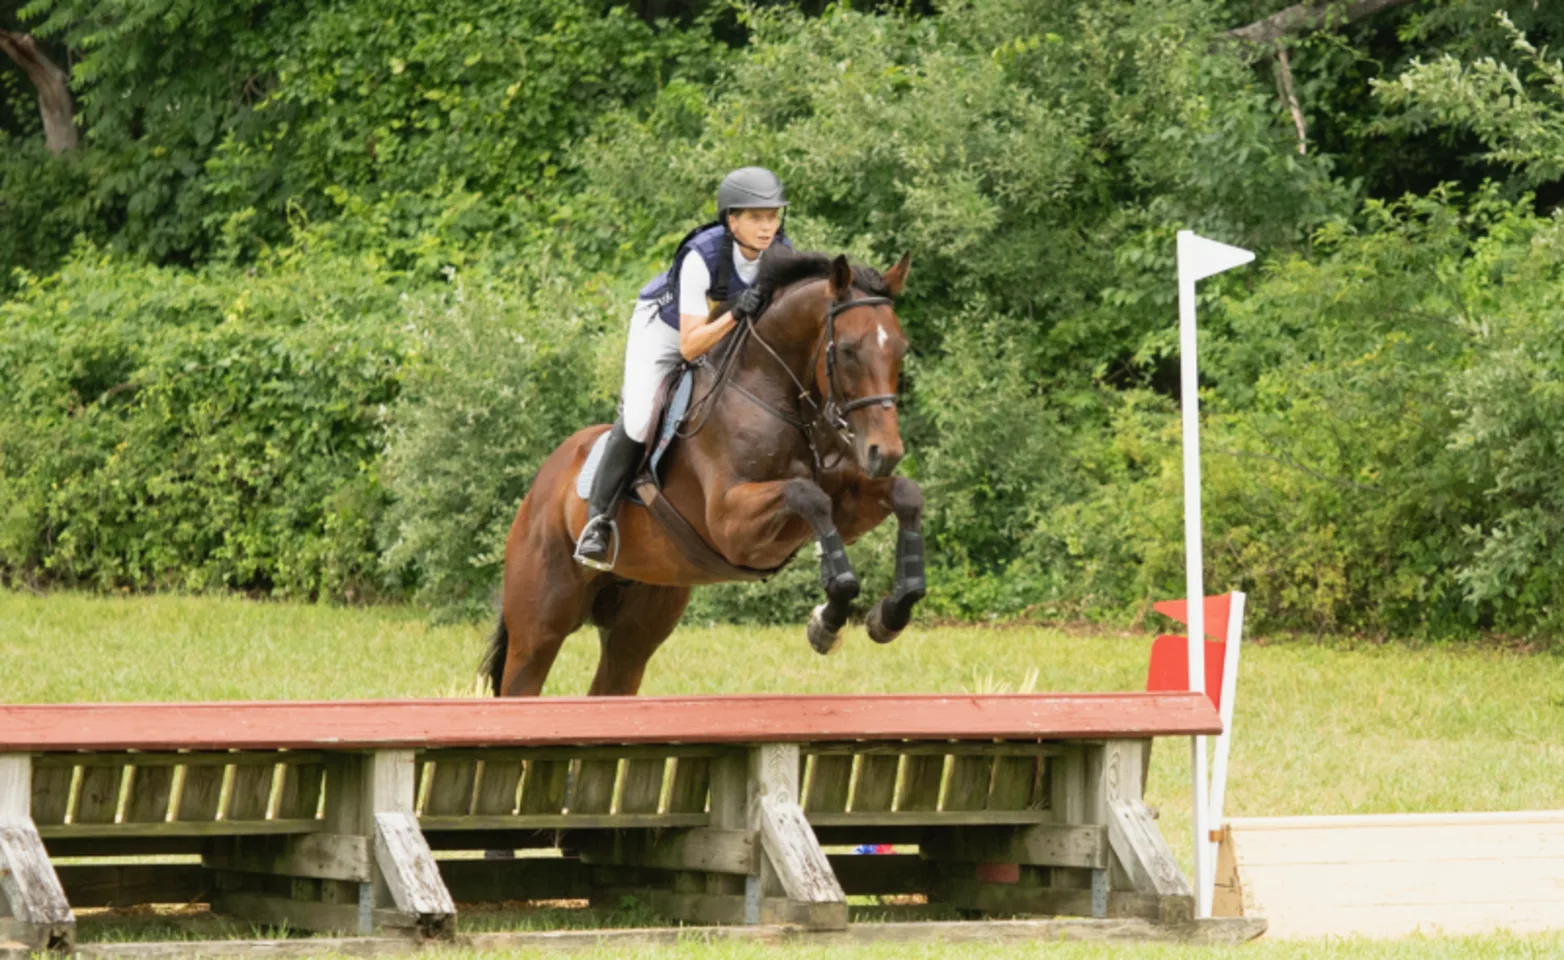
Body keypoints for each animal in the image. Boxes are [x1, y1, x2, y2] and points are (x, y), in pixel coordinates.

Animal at [479, 250, 926, 697]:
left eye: (900, 349)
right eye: (847, 350)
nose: (884, 452)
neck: (776, 398)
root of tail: (539, 487)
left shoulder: (846, 509)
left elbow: (905, 494)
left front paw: (891, 612)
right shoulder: (732, 526)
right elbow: (807, 495)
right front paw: (827, 620)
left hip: (638, 622)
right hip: (538, 627)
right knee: (524, 677)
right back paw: (594, 537)